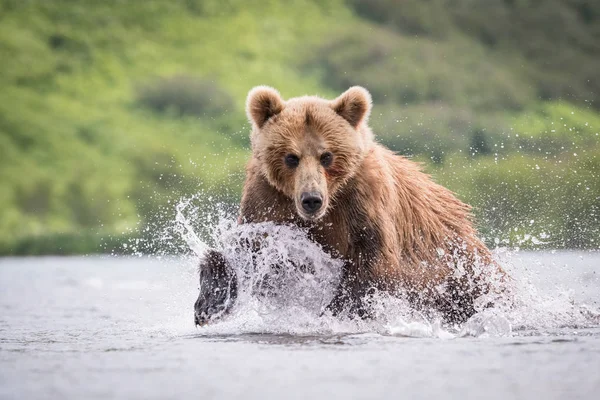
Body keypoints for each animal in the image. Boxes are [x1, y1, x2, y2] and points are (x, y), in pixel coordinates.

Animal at [195, 86, 504, 326]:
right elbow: (252, 250)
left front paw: (335, 312)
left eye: (327, 156)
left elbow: (372, 263)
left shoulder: (363, 199)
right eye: (291, 157)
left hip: (459, 268)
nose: (311, 199)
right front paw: (209, 303)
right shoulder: (268, 198)